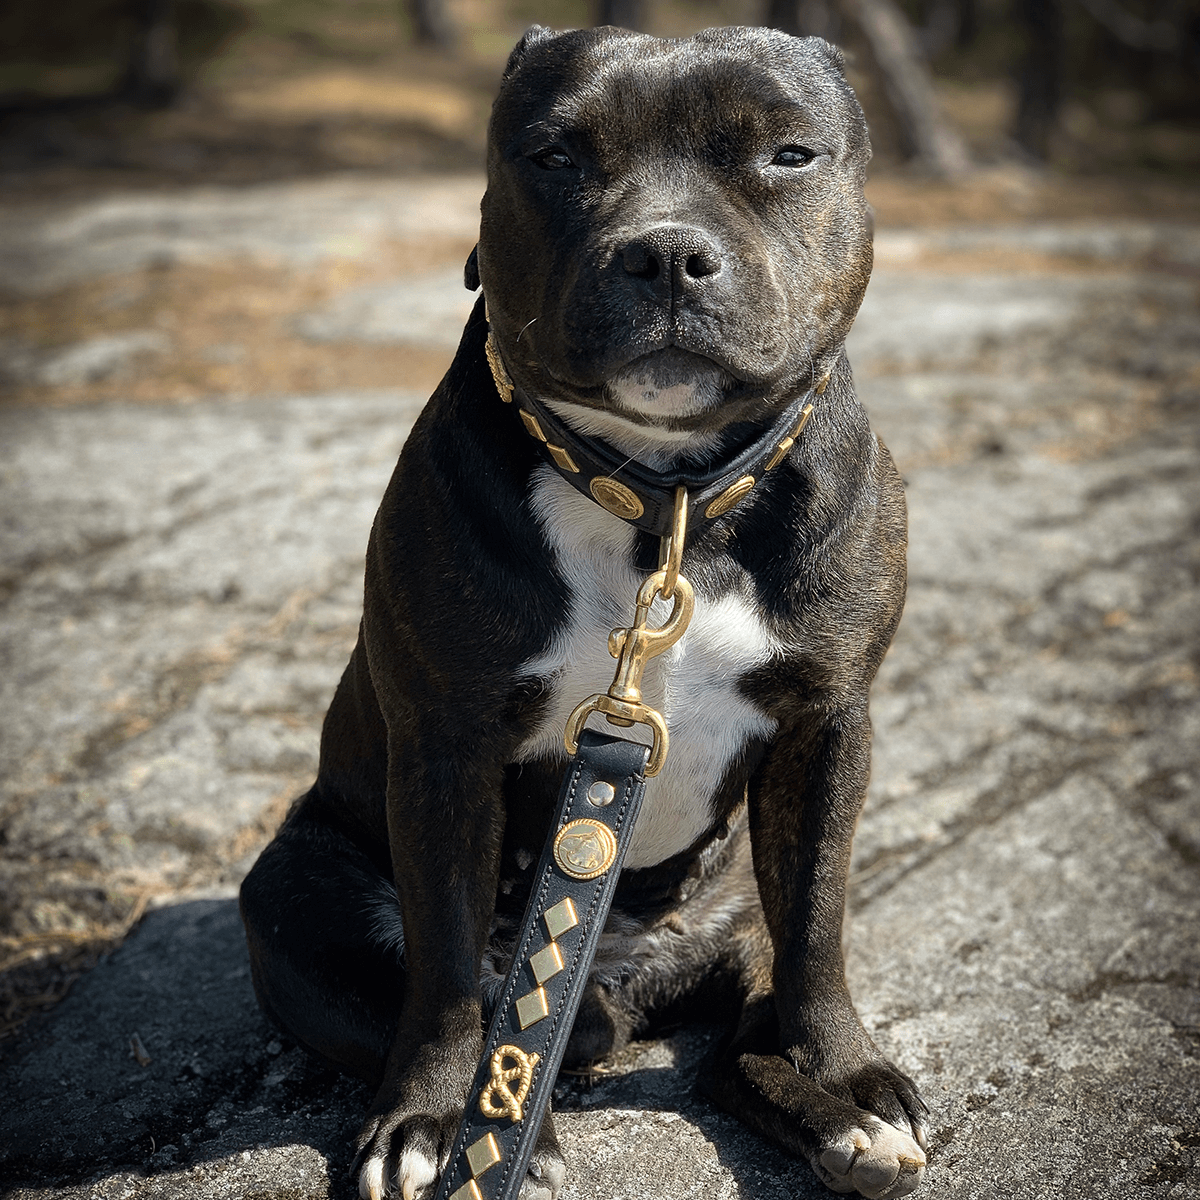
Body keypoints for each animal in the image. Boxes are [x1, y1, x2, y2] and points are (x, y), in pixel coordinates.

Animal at [241, 25, 926, 1200]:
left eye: (790, 154)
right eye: (554, 157)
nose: (666, 253)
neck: (669, 500)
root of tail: (614, 967)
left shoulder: (829, 723)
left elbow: (817, 928)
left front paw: (848, 1071)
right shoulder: (446, 748)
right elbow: (444, 972)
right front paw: (432, 1120)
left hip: (728, 908)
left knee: (733, 1038)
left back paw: (840, 1125)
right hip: (297, 891)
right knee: (479, 1001)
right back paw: (528, 1103)